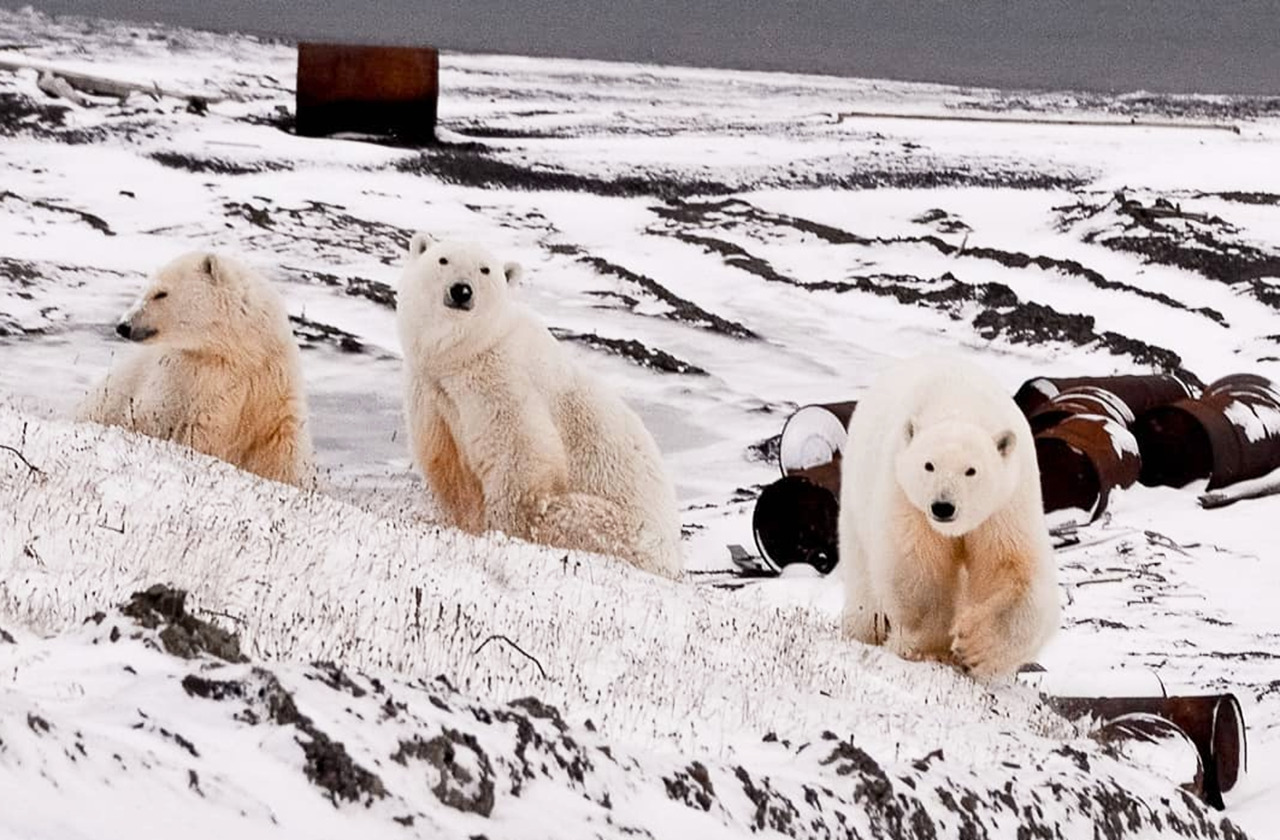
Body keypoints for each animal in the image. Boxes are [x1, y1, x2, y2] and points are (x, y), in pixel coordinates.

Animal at [77, 250, 314, 486]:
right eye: (146, 290)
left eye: (161, 293)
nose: (124, 326)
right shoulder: (188, 381)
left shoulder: (272, 380)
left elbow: (280, 447)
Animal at [396, 234, 686, 578]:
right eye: (443, 260)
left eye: (485, 269)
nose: (461, 290)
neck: (462, 355)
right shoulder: (432, 392)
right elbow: (448, 462)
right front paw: (462, 521)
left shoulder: (503, 378)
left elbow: (523, 453)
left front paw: (502, 529)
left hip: (620, 527)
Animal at [839, 353, 1059, 676]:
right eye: (928, 465)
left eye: (971, 470)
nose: (943, 506)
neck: (959, 401)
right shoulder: (906, 495)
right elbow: (916, 566)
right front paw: (926, 646)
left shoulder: (1006, 503)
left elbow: (1013, 568)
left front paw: (975, 647)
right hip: (858, 497)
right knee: (863, 576)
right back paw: (866, 629)